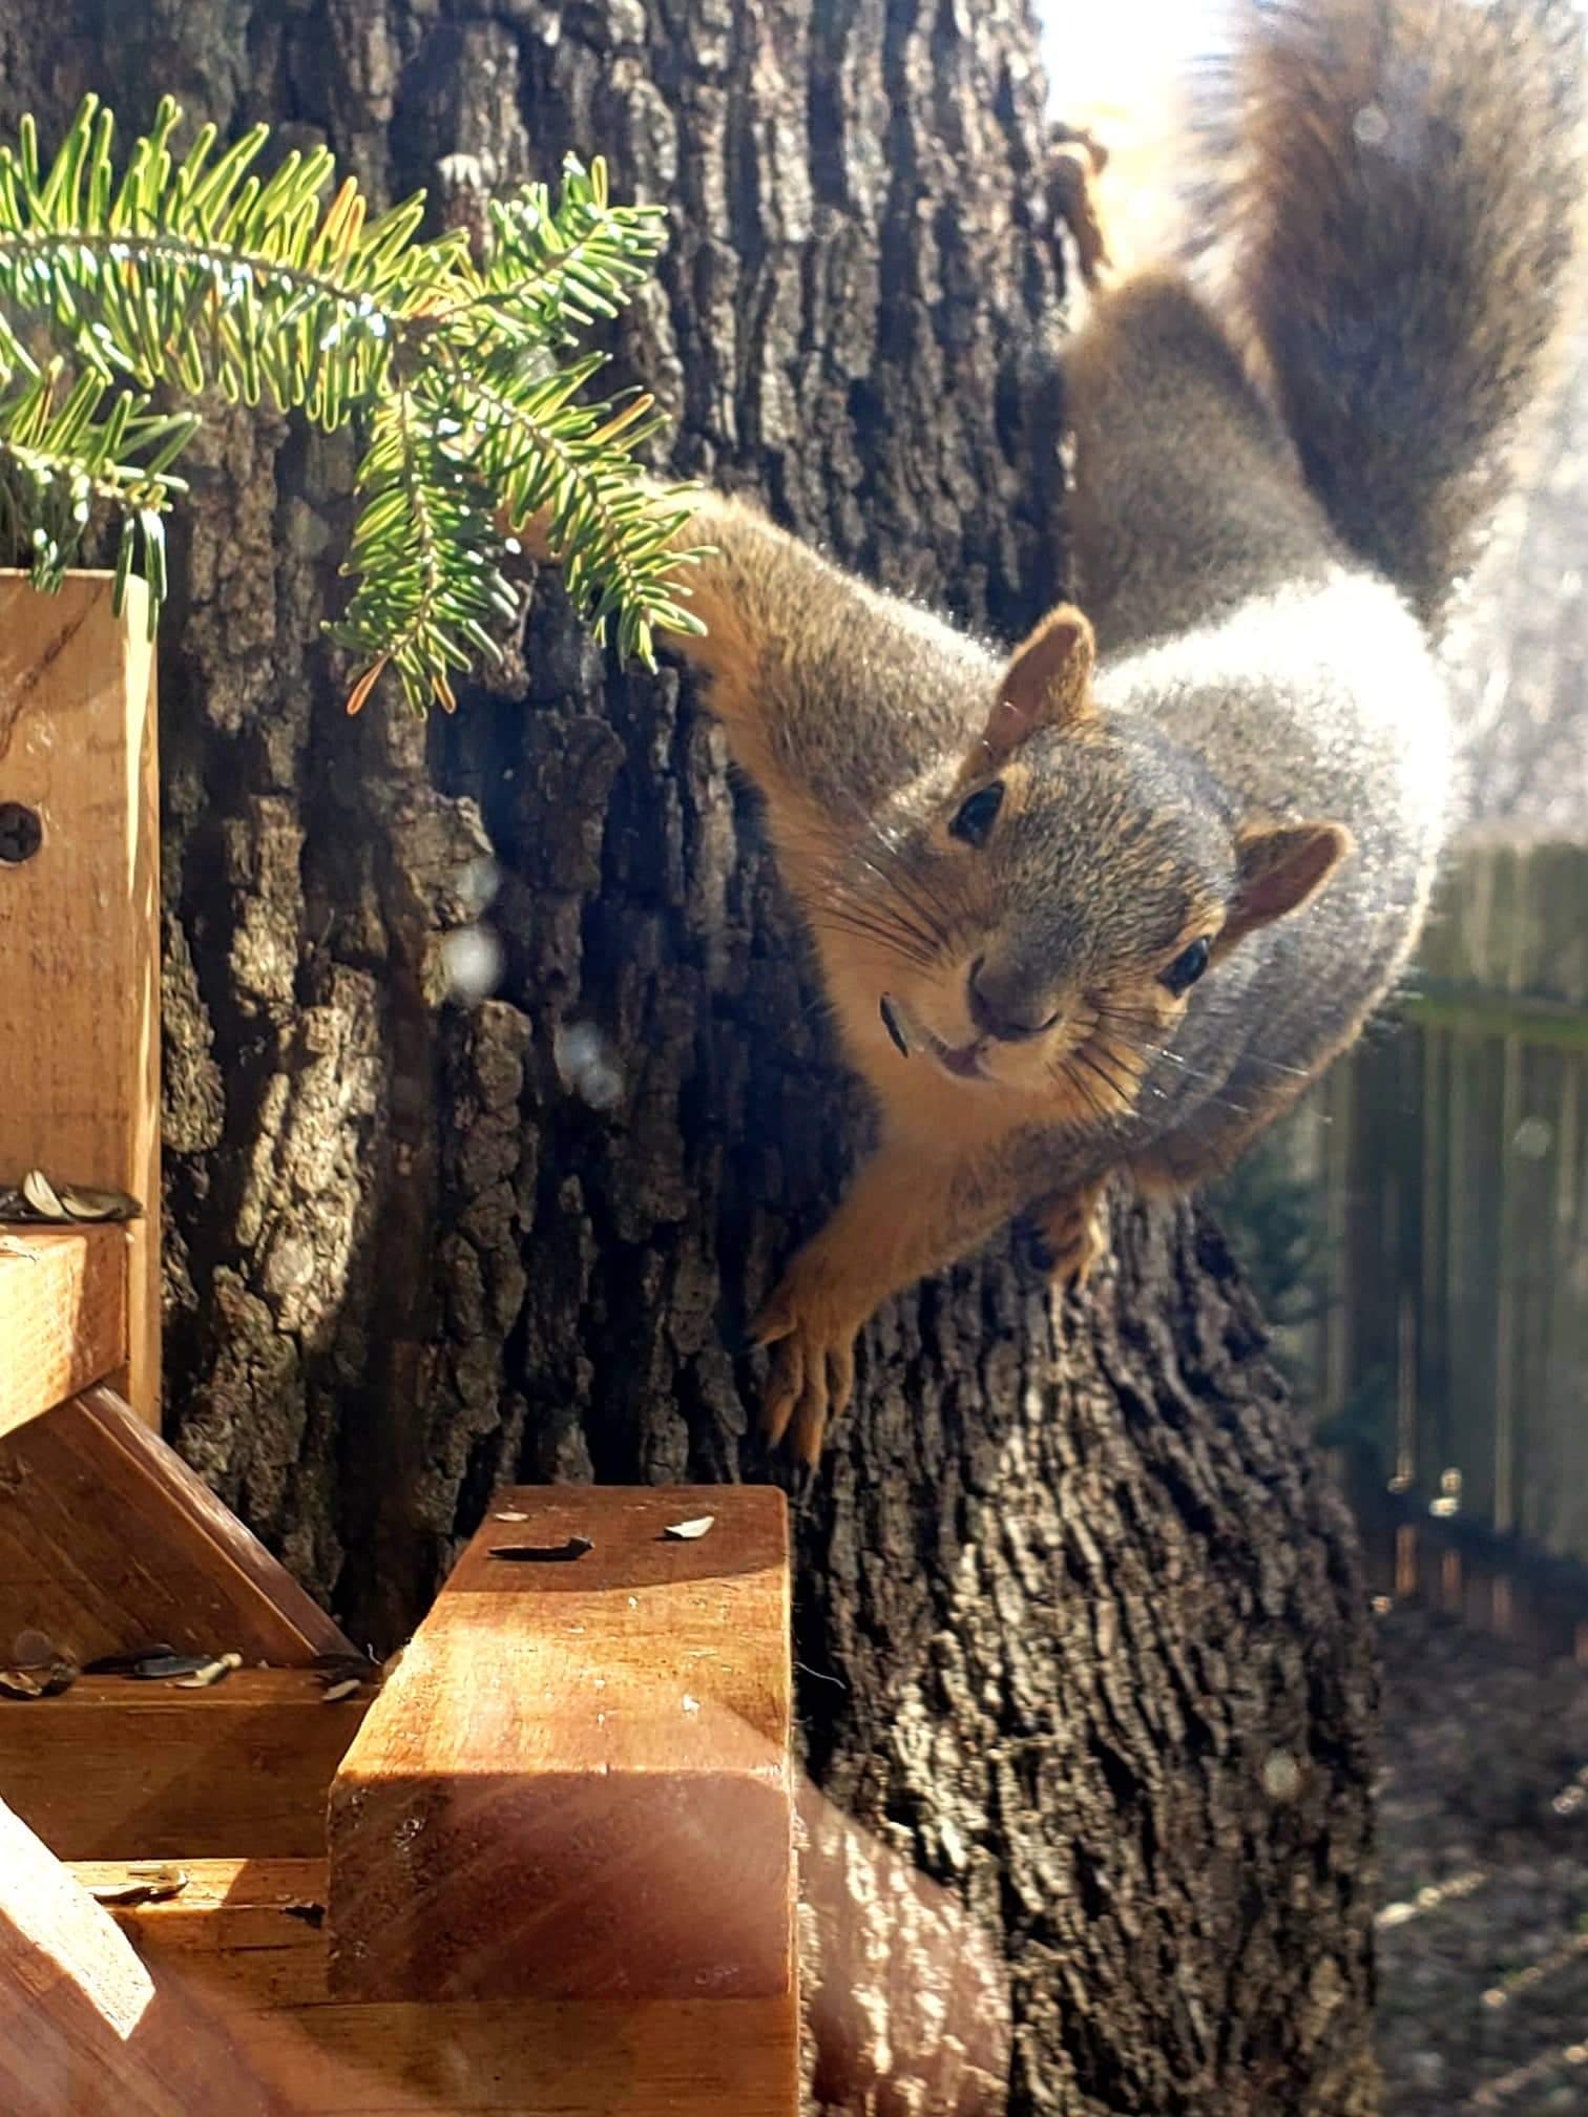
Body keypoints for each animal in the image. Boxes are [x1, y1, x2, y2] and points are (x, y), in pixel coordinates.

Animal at [518, 0, 1585, 1464]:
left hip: (1236, 1100)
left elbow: (916, 1228)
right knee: (1149, 331)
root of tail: (1383, 607)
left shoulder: (1032, 1133)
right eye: (977, 807)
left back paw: (1085, 1217)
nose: (1007, 1007)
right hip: (1183, 477)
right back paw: (1091, 228)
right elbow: (727, 566)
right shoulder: (866, 715)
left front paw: (821, 1322)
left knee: (1152, 1166)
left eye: (1191, 961)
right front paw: (506, 447)